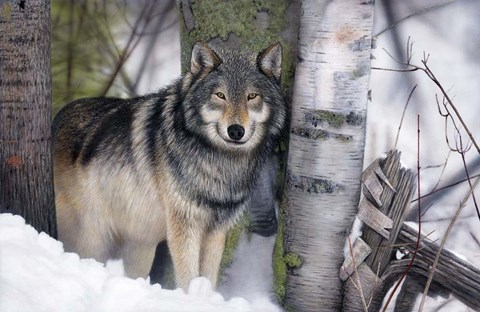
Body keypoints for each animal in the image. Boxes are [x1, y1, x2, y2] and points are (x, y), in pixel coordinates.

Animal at [52, 42, 284, 288]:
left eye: (252, 96)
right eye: (220, 95)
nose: (236, 131)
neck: (220, 162)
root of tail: (55, 120)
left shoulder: (216, 231)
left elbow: (208, 277)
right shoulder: (183, 226)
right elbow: (188, 276)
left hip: (140, 247)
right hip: (94, 239)